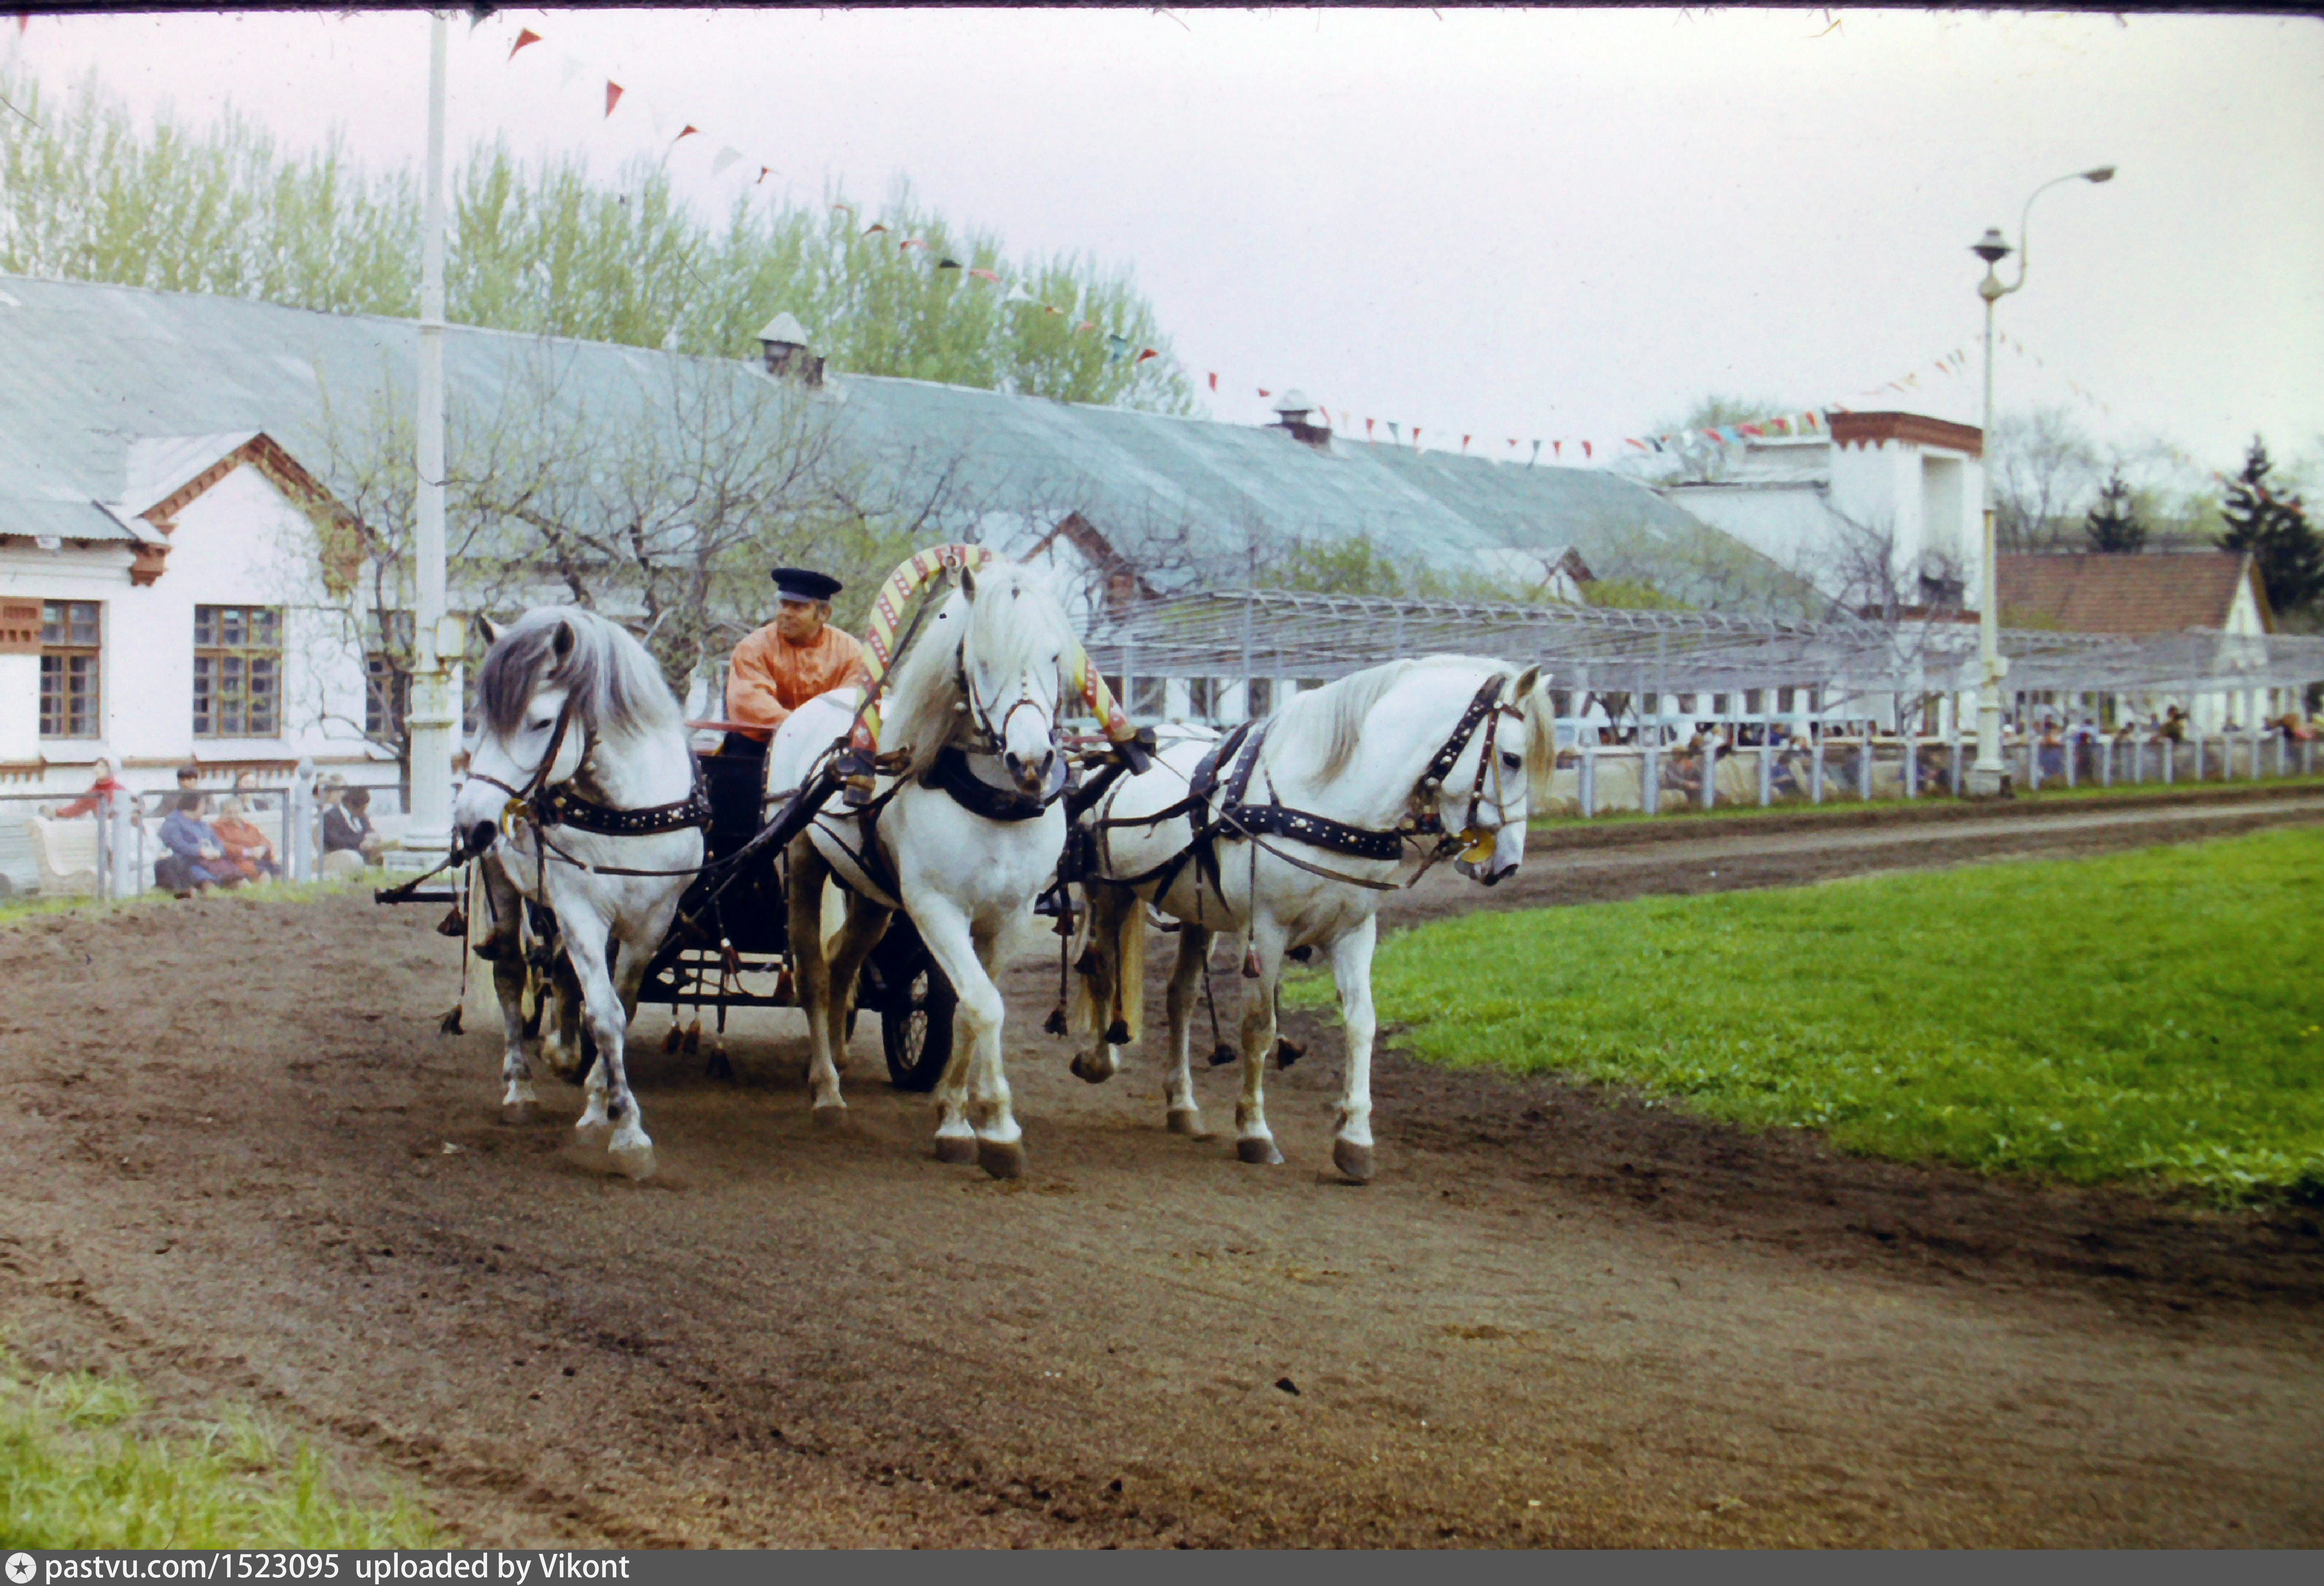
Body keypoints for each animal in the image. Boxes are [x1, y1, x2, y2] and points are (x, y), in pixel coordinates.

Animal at [451, 604, 706, 1172]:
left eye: (541, 721)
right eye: (481, 720)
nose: (470, 822)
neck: (627, 810)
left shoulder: (651, 920)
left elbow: (620, 1005)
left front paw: (598, 1106)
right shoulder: (580, 911)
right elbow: (605, 1014)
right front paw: (627, 1130)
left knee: (563, 973)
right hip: (504, 884)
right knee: (509, 972)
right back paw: (520, 1087)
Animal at [771, 558, 1078, 1172]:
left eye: (1055, 656)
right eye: (981, 659)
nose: (1032, 762)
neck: (994, 806)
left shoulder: (1009, 916)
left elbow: (970, 1007)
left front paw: (968, 1109)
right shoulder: (937, 908)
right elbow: (983, 1005)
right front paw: (981, 1125)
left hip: (871, 896)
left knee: (843, 964)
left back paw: (839, 1054)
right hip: (803, 864)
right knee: (815, 974)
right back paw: (826, 1089)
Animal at [1064, 646, 1543, 1181]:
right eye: (1512, 757)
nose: (1507, 864)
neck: (1328, 801)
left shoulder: (1354, 932)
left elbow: (1361, 1022)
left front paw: (1355, 1138)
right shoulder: (1265, 930)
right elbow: (1259, 1027)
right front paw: (1255, 1132)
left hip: (1197, 913)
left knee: (1180, 996)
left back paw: (1182, 1104)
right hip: (1111, 892)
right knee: (1103, 971)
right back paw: (1100, 1059)